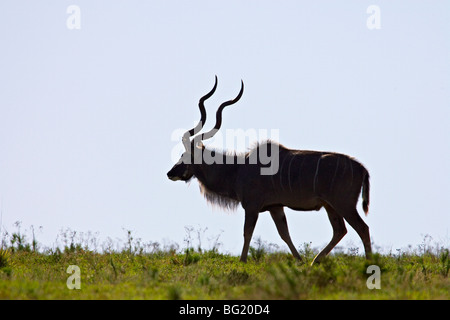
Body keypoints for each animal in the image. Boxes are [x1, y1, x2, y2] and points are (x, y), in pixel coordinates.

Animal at [167, 76, 370, 264]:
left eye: (184, 155)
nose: (171, 173)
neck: (237, 168)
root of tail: (362, 169)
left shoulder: (252, 206)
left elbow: (247, 233)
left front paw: (242, 262)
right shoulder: (275, 207)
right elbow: (284, 234)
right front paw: (300, 261)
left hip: (343, 204)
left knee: (362, 228)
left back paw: (368, 263)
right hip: (330, 205)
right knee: (340, 230)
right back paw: (315, 262)